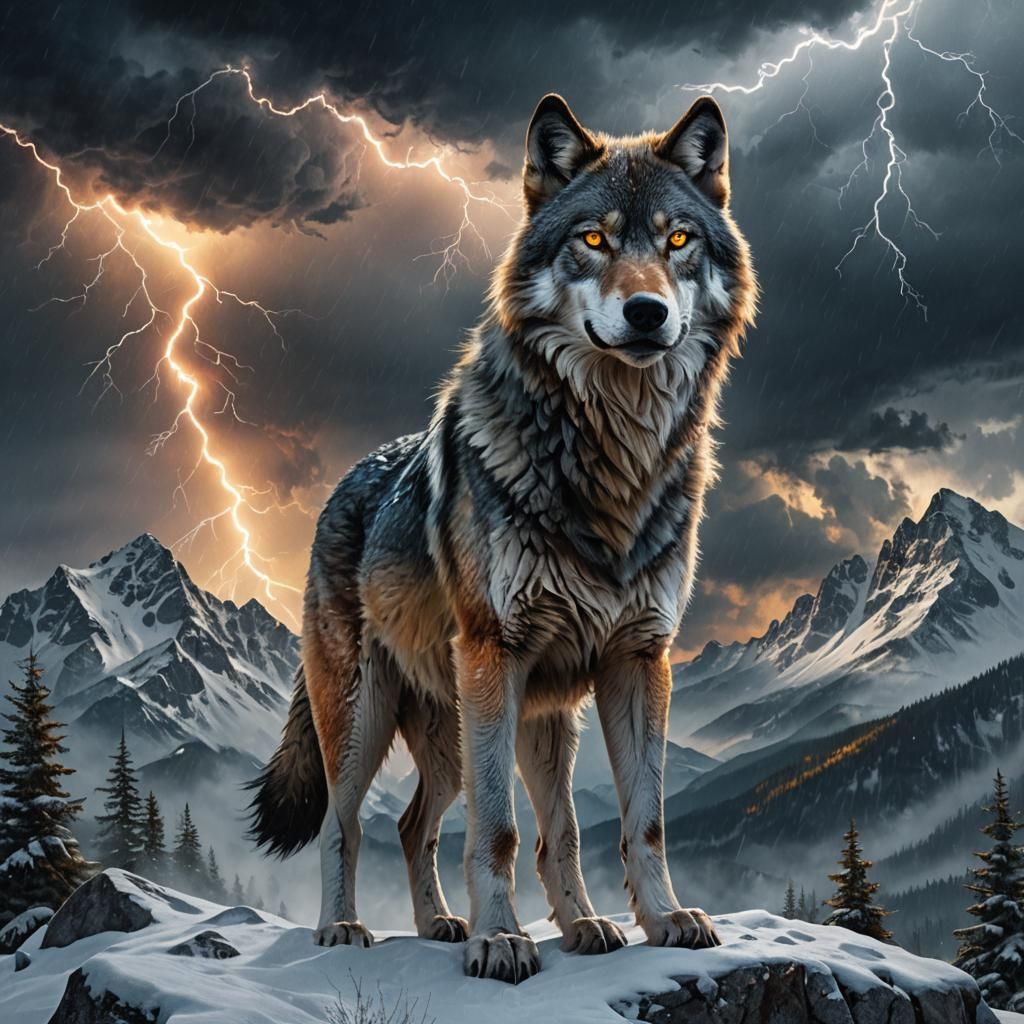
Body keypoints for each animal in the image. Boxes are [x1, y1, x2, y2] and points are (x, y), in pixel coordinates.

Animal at [248, 92, 757, 984]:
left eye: (677, 241)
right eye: (593, 240)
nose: (647, 312)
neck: (611, 462)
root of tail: (339, 489)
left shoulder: (637, 660)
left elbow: (633, 821)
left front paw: (661, 921)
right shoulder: (498, 653)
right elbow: (500, 831)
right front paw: (500, 940)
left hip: (498, 727)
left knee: (424, 824)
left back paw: (481, 925)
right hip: (373, 719)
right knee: (347, 827)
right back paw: (345, 929)